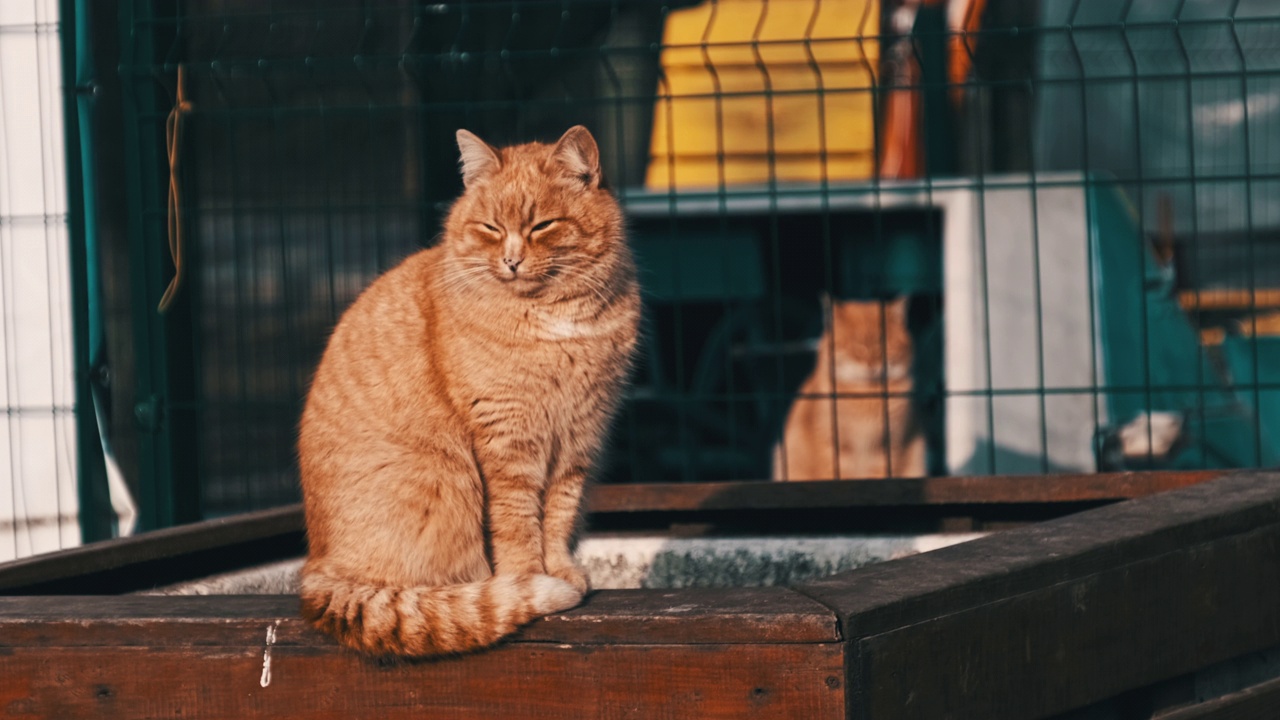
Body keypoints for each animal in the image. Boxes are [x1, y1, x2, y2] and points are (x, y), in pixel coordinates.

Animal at [296, 124, 640, 655]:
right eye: (491, 229)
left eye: (542, 226)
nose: (512, 261)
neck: (552, 320)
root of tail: (317, 572)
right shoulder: (508, 440)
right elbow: (518, 523)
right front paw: (529, 578)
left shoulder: (578, 441)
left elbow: (559, 517)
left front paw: (560, 570)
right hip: (443, 476)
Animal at [768, 294, 921, 479]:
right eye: (857, 347)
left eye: (883, 346)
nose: (872, 365)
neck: (866, 396)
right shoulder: (834, 446)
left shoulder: (886, 446)